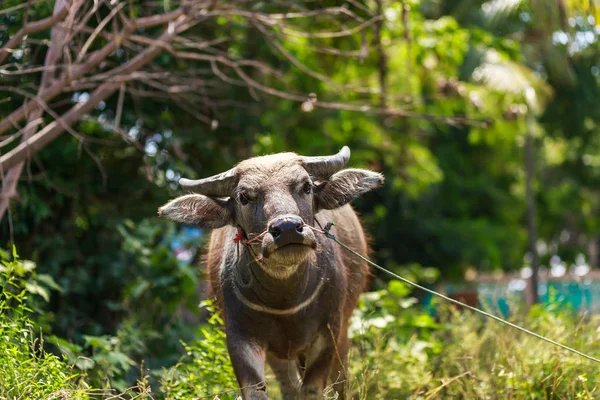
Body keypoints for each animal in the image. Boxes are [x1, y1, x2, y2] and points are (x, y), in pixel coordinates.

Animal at [159, 148, 382, 400]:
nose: (287, 228)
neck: (284, 302)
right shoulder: (240, 340)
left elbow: (313, 389)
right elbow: (257, 390)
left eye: (306, 186)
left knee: (340, 380)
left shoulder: (328, 333)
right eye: (244, 197)